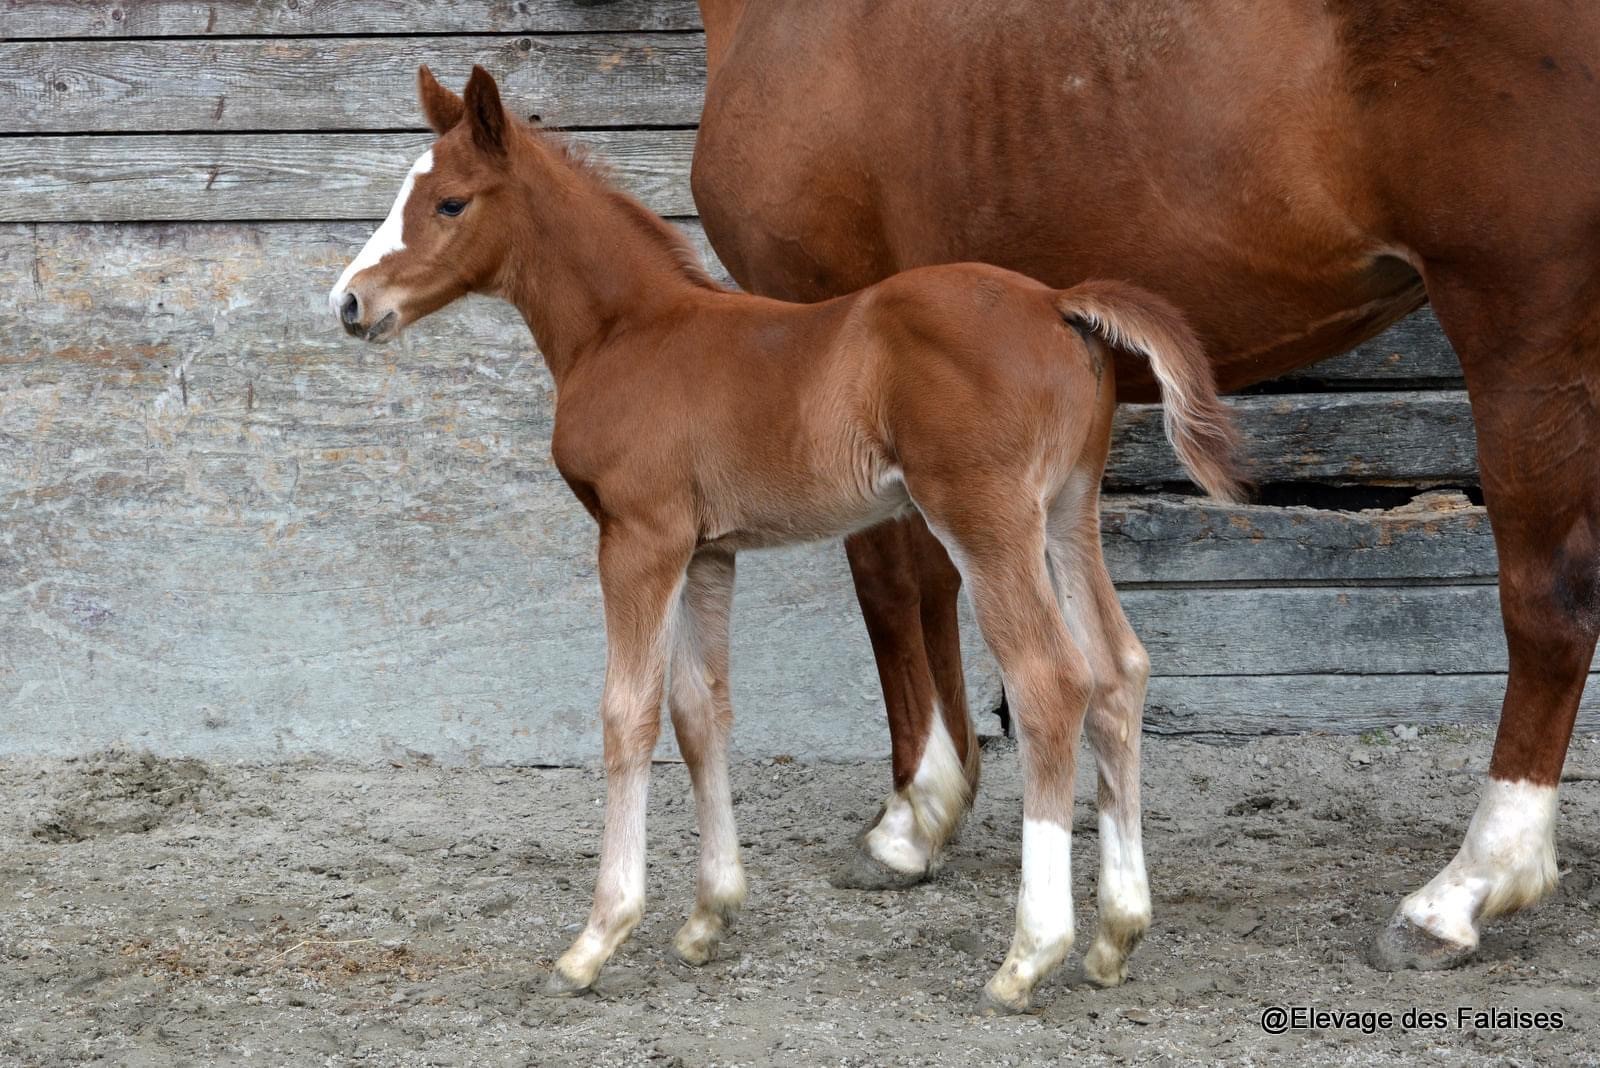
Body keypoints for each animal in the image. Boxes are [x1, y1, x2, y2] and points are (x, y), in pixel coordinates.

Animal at [331, 66, 1241, 1010]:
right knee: (1118, 672)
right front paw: (708, 917)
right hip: (1066, 513)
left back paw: (1030, 955)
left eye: (449, 202)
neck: (628, 331)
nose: (350, 302)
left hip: (985, 518)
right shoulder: (707, 551)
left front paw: (597, 937)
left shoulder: (639, 538)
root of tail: (1060, 304)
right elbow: (701, 713)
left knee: (1051, 683)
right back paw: (1115, 934)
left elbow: (628, 714)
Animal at [694, 0, 1600, 972]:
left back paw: (1465, 890)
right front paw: (941, 804)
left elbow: (888, 582)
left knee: (1551, 604)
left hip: (1525, 329)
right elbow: (931, 580)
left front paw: (909, 823)